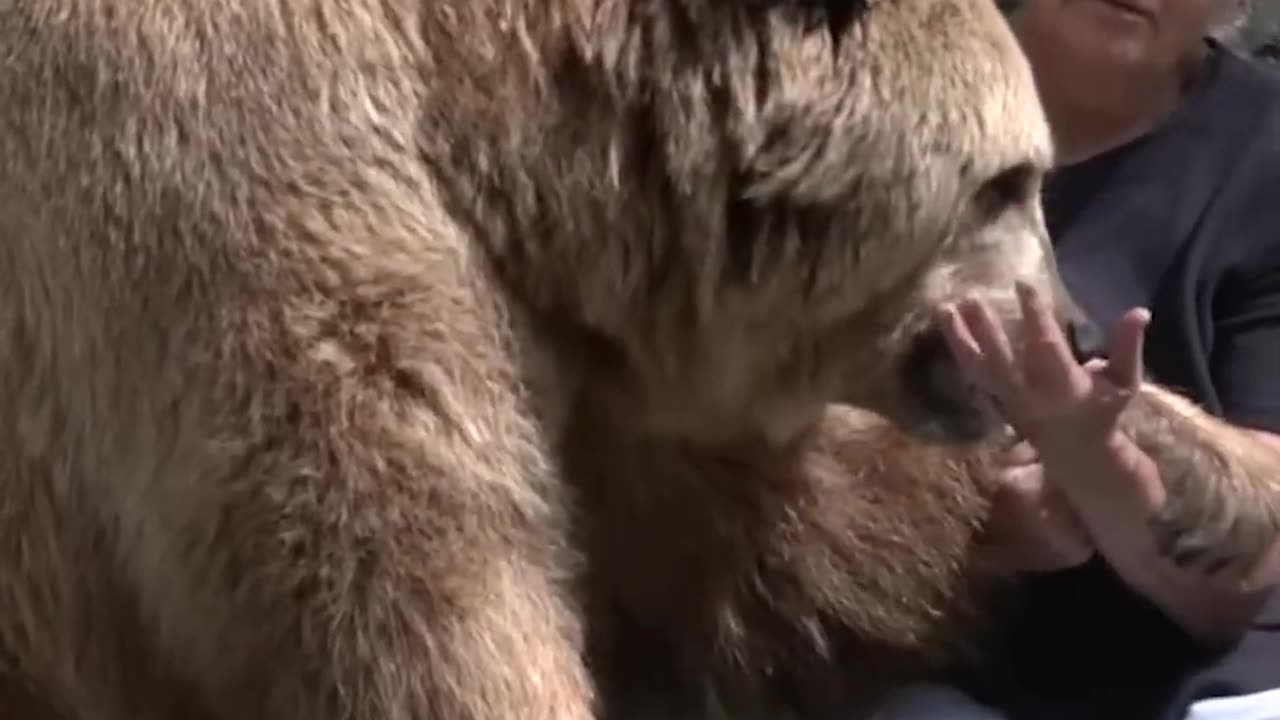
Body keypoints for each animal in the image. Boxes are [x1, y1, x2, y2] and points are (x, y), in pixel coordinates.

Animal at [12, 0, 1264, 719]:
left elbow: (744, 536)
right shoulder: (219, 173)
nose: (1069, 325)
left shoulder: (580, 349)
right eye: (1007, 181)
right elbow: (397, 558)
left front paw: (1198, 473)